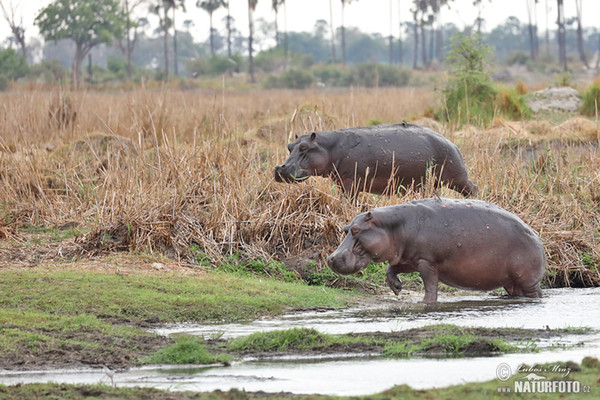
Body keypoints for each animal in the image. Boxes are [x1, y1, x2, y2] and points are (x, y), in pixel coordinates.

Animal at [274, 122, 478, 197]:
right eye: (289, 146)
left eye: (304, 147)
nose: (280, 168)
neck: (330, 147)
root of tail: (452, 143)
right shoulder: (341, 182)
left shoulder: (351, 182)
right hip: (430, 184)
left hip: (457, 178)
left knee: (473, 189)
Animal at [326, 197, 548, 304]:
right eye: (345, 228)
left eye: (356, 230)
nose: (331, 258)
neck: (392, 226)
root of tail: (537, 237)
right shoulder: (408, 259)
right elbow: (391, 269)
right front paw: (397, 288)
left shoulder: (426, 261)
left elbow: (430, 284)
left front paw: (426, 302)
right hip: (511, 282)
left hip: (527, 279)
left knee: (536, 293)